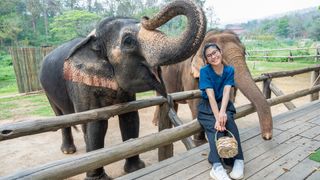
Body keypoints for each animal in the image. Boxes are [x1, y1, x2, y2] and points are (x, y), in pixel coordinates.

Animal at [38, 0, 206, 179]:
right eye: (128, 41)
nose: (146, 17)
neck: (93, 39)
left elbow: (130, 118)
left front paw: (136, 168)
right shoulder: (81, 83)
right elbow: (95, 124)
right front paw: (98, 177)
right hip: (46, 89)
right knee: (60, 116)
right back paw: (69, 151)